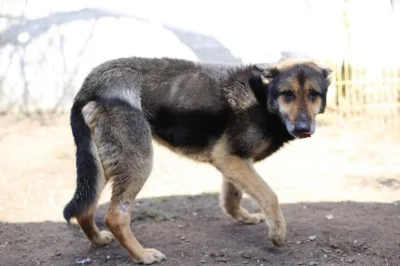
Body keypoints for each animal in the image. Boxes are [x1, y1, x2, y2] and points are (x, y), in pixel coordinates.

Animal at [63, 55, 332, 264]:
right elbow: (270, 195)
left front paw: (243, 217)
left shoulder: (233, 160)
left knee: (85, 208)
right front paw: (277, 233)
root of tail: (90, 85)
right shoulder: (230, 158)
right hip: (138, 162)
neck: (263, 98)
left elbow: (232, 196)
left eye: (313, 95)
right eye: (288, 94)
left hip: (100, 165)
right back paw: (142, 255)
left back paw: (98, 240)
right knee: (115, 216)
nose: (303, 128)